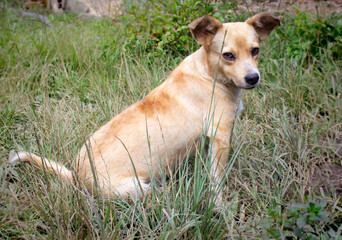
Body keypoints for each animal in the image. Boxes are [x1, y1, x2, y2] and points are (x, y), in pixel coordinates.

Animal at [8, 11, 280, 206]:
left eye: (255, 51)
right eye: (228, 55)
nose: (253, 78)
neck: (210, 76)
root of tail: (77, 176)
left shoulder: (209, 142)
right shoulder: (222, 137)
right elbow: (217, 181)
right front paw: (219, 205)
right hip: (140, 188)